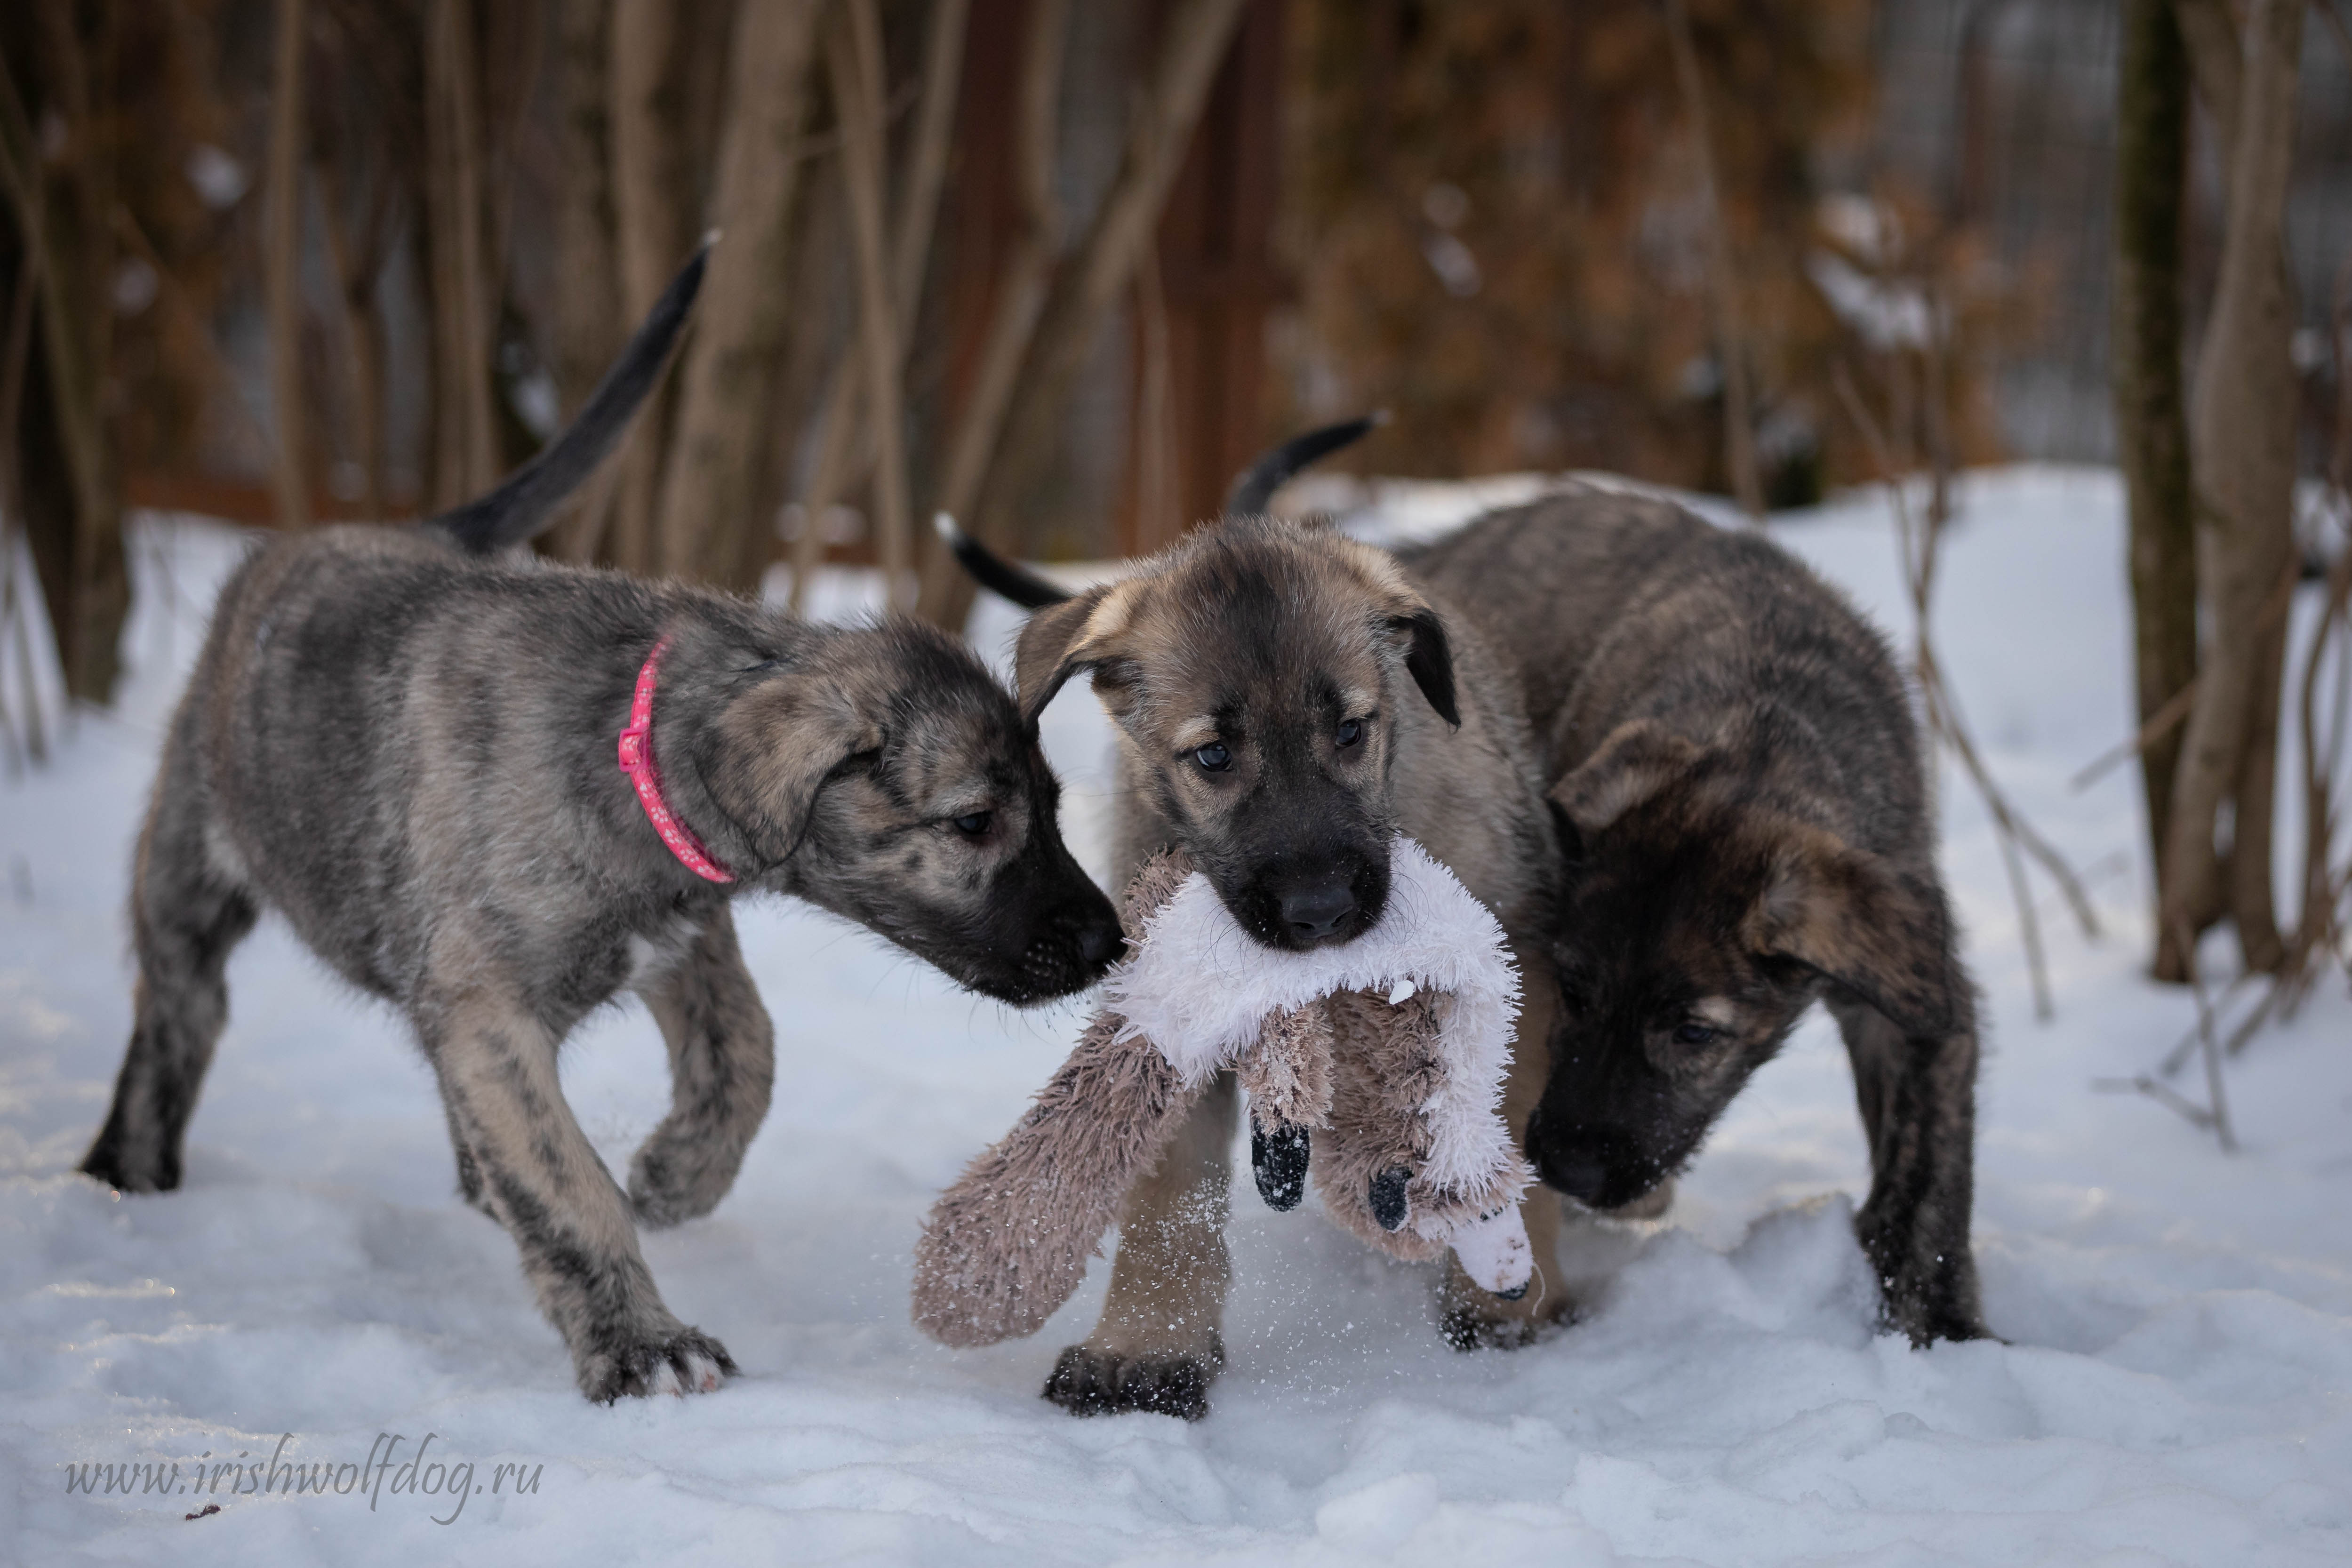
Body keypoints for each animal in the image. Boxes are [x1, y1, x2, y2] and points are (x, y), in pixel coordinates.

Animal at [78, 248, 1124, 1410]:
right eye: (976, 821)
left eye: (1054, 808)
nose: (1108, 943)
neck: (628, 748)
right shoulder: (491, 1011)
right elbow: (565, 1180)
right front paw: (642, 1342)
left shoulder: (682, 936)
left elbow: (747, 1055)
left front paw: (677, 1173)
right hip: (187, 873)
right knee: (178, 1017)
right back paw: (129, 1175)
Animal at [1401, 491, 1994, 1354]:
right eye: (1573, 993)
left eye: (1693, 1033)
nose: (1570, 1169)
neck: (1761, 726)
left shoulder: (1911, 983)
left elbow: (1929, 1166)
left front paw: (1940, 1316)